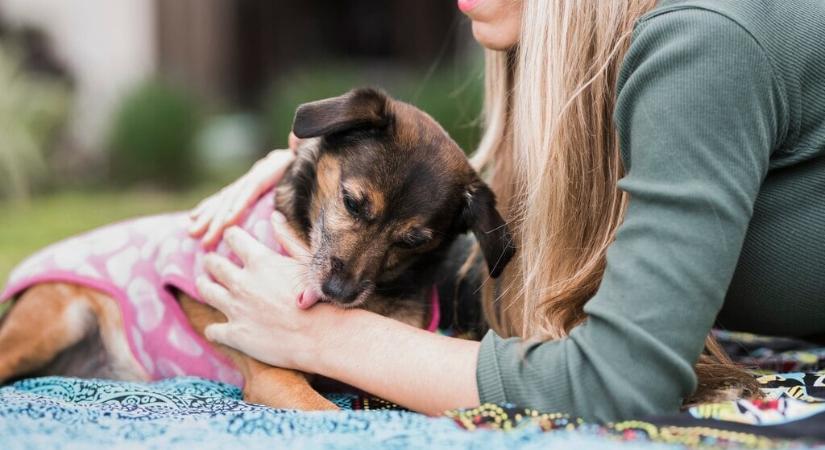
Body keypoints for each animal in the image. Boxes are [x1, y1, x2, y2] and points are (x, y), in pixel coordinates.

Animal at [0, 87, 516, 408]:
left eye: (412, 241)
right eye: (352, 201)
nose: (338, 291)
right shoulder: (274, 379)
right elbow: (329, 413)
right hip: (51, 321)